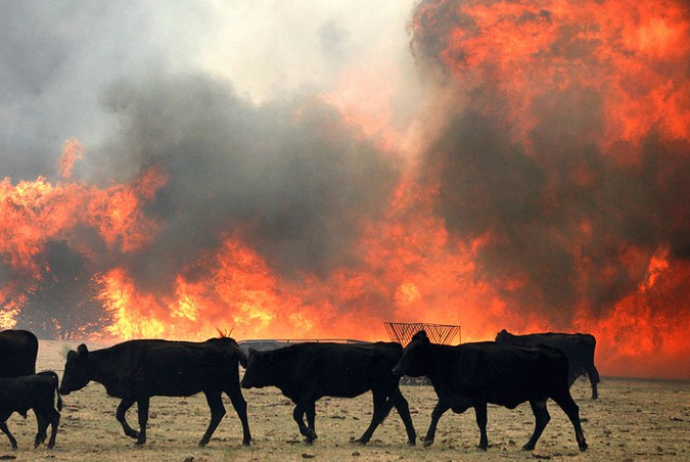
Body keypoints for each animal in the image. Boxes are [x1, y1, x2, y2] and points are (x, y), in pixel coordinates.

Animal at [57, 336, 250, 448]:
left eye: (73, 367)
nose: (62, 388)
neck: (120, 359)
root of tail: (228, 343)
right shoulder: (132, 395)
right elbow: (121, 413)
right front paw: (135, 435)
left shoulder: (141, 394)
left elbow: (141, 417)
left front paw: (138, 438)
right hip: (212, 390)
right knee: (219, 411)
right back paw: (203, 441)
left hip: (230, 386)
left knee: (239, 407)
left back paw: (245, 441)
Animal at [239, 342, 416, 446]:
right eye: (248, 363)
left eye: (256, 365)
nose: (243, 382)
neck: (294, 361)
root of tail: (392, 346)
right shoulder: (308, 397)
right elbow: (309, 415)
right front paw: (309, 438)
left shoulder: (309, 393)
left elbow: (297, 413)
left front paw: (309, 434)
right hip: (384, 388)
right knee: (395, 407)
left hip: (384, 386)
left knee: (387, 409)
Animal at [390, 330, 584, 452]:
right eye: (405, 350)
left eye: (412, 352)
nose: (395, 369)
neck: (451, 360)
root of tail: (553, 350)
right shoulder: (450, 397)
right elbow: (436, 413)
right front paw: (428, 439)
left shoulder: (478, 399)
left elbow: (481, 421)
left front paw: (482, 444)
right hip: (537, 397)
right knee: (543, 418)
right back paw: (528, 445)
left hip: (559, 391)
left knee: (572, 410)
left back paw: (582, 443)